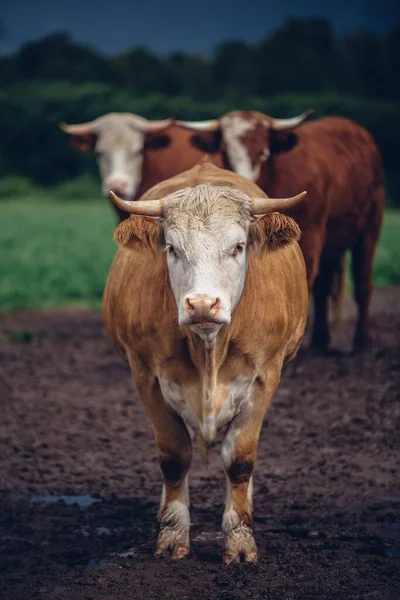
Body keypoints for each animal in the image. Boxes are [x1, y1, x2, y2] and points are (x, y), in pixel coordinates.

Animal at [104, 159, 310, 564]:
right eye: (171, 247)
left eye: (239, 246)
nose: (201, 304)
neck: (208, 350)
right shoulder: (146, 376)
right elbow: (173, 456)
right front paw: (172, 534)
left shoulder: (266, 375)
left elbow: (240, 459)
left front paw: (240, 539)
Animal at [179, 111, 384, 352]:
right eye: (225, 154)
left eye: (264, 153)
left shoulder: (310, 236)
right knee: (324, 286)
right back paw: (320, 340)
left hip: (369, 230)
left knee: (363, 282)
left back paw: (363, 340)